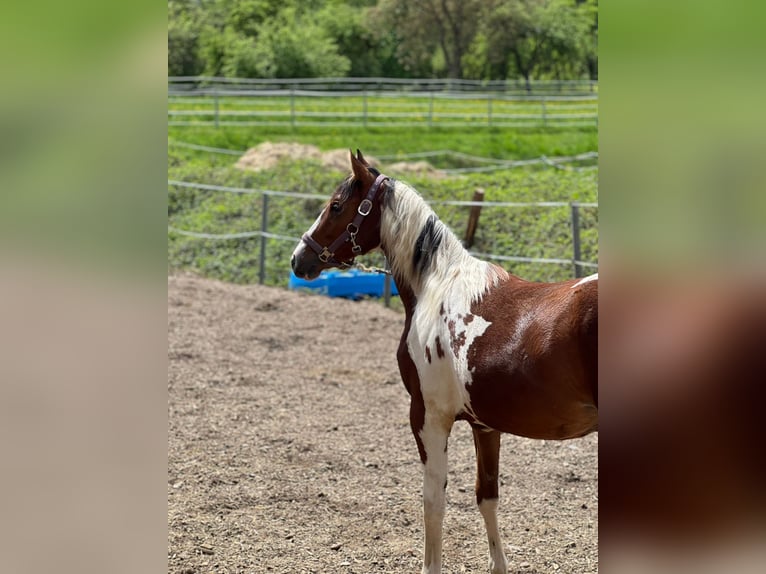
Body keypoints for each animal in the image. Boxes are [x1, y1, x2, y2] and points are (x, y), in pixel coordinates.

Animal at [290, 150, 598, 574]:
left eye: (336, 206)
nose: (298, 259)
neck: (436, 287)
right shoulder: (485, 425)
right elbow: (486, 496)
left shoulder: (428, 416)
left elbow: (432, 502)